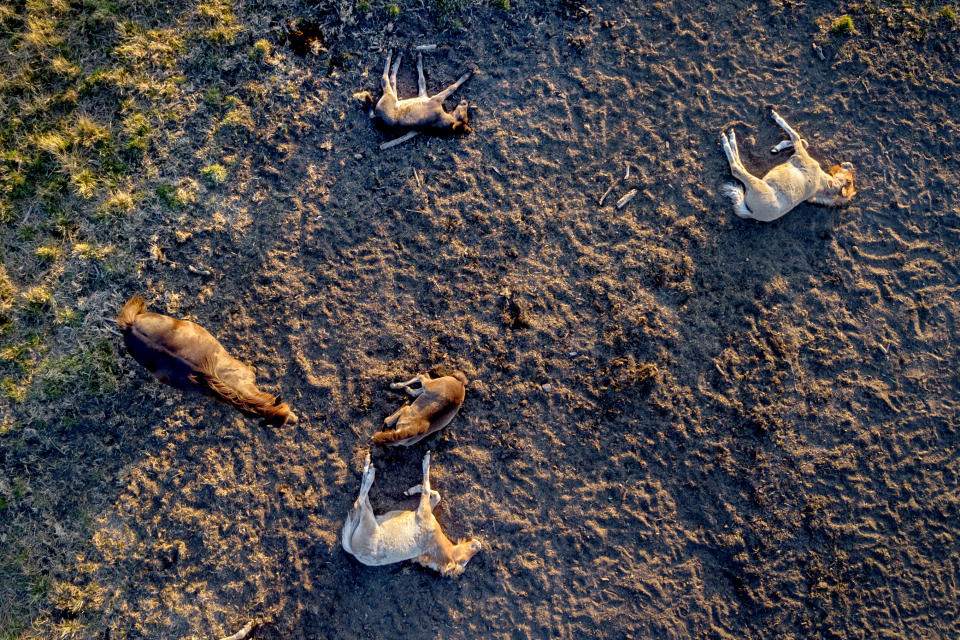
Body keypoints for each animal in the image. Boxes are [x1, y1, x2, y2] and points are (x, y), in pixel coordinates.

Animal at [342, 452, 484, 576]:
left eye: (464, 559)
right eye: (467, 553)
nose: (478, 545)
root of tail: (353, 550)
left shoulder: (423, 511)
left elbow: (427, 488)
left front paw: (426, 461)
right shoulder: (425, 510)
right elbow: (434, 494)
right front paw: (412, 489)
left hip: (368, 519)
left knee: (360, 500)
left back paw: (370, 471)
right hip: (370, 514)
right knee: (363, 499)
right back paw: (368, 465)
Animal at [720, 108, 856, 222]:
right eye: (850, 180)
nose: (849, 165)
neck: (822, 182)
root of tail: (753, 214)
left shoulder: (800, 154)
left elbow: (795, 135)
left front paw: (774, 115)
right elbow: (803, 141)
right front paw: (776, 148)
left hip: (754, 182)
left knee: (736, 168)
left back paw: (727, 138)